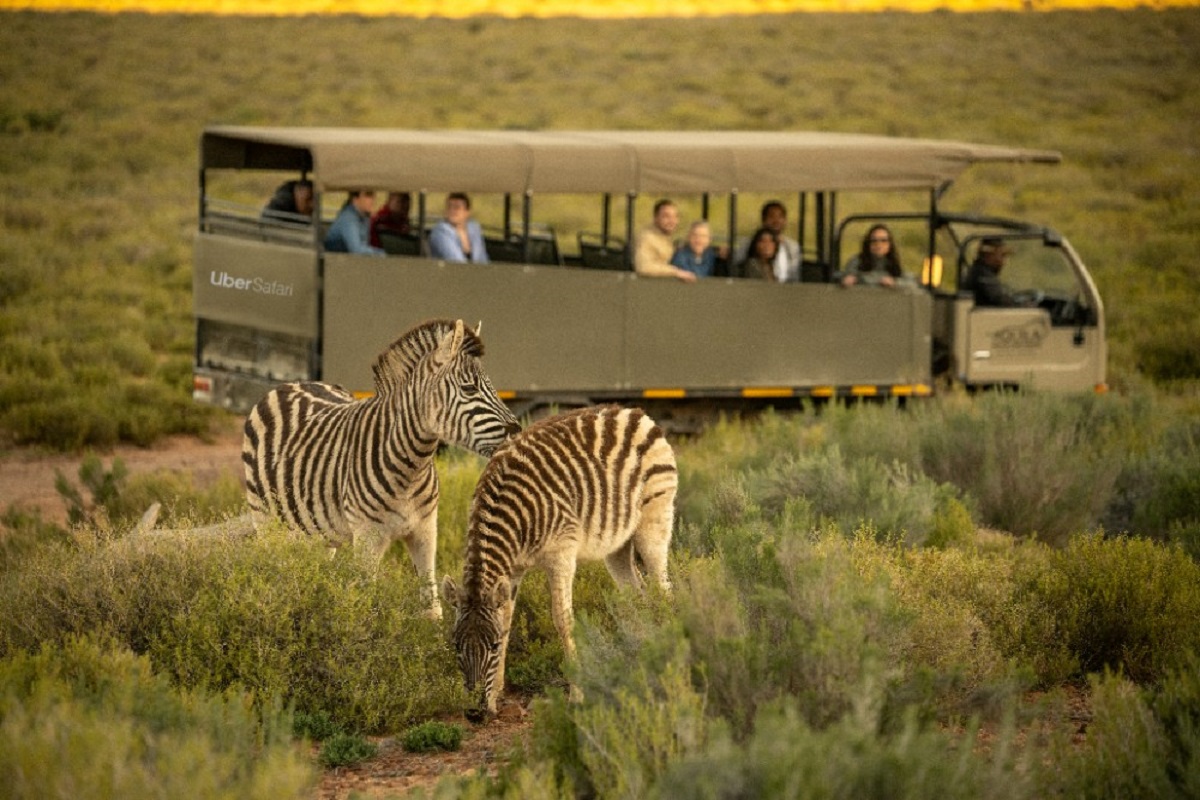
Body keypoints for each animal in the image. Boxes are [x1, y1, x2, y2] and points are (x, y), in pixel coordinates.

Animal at [243, 316, 520, 618]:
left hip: (318, 530)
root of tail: (288, 384)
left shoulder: (425, 530)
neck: (412, 468)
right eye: (469, 389)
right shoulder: (367, 537)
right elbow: (366, 605)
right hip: (264, 518)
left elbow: (431, 606)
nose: (518, 430)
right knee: (273, 569)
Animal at [441, 402, 676, 724]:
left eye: (492, 646)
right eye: (455, 646)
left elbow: (562, 620)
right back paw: (642, 654)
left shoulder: (561, 553)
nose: (475, 715)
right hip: (618, 545)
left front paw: (577, 694)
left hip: (654, 519)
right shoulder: (513, 568)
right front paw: (497, 692)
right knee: (637, 595)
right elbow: (507, 619)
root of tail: (634, 412)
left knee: (663, 591)